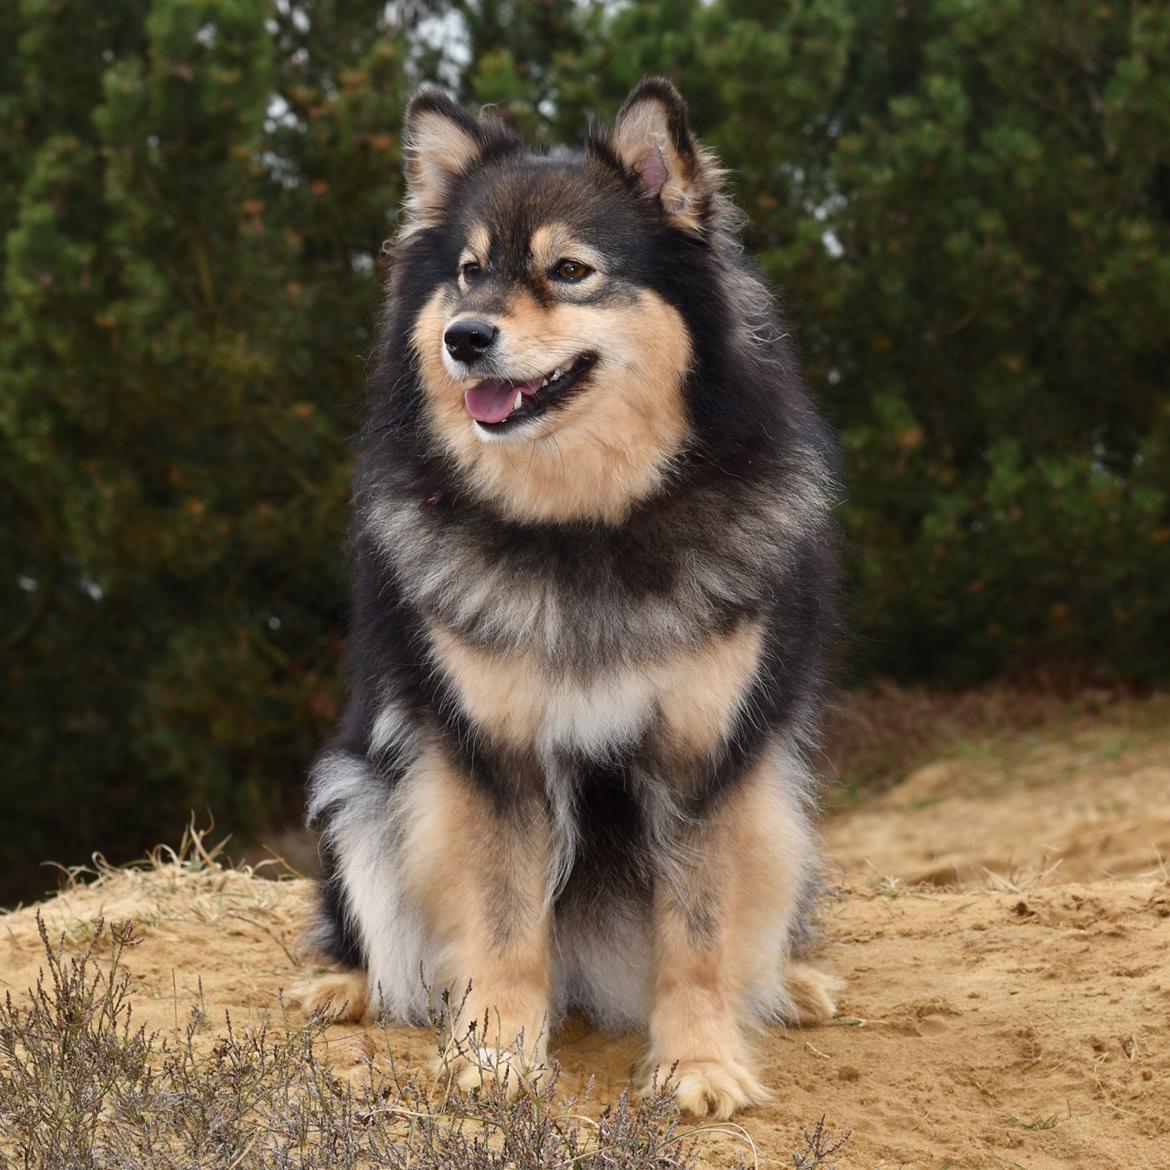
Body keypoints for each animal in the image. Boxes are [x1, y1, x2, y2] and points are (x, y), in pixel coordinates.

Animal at [299, 77, 842, 1118]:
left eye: (570, 270)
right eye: (469, 272)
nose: (464, 337)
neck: (586, 523)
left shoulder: (703, 754)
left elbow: (698, 931)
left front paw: (698, 1063)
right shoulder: (494, 755)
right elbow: (505, 923)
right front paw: (497, 1056)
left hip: (780, 804)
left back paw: (787, 984)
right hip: (359, 792)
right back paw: (347, 985)